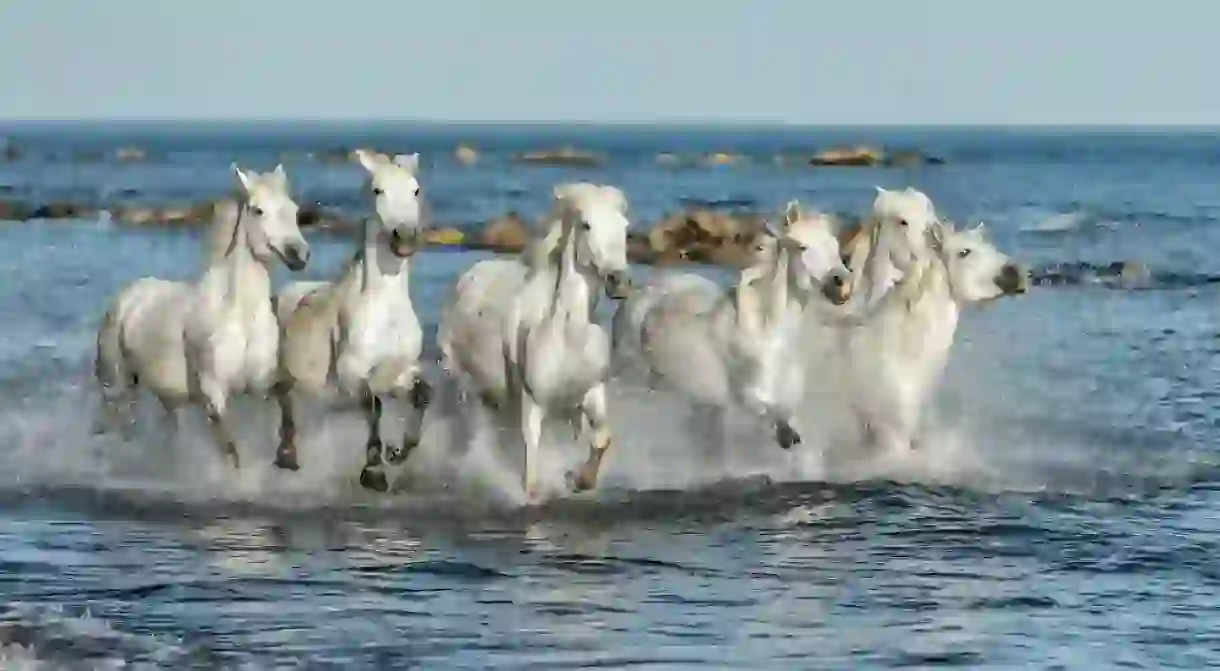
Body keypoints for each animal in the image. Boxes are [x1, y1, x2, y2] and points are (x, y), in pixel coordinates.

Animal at [96, 164, 312, 468]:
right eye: (258, 210)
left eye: (294, 209)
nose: (298, 254)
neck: (239, 316)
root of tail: (126, 298)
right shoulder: (214, 393)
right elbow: (232, 452)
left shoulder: (260, 388)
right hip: (118, 385)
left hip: (166, 399)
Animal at [272, 148, 429, 495]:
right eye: (377, 190)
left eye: (415, 190)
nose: (404, 237)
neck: (387, 310)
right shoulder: (351, 373)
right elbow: (373, 406)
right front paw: (374, 471)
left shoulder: (399, 371)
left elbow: (422, 394)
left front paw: (398, 452)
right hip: (288, 376)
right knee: (286, 404)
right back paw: (287, 456)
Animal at [436, 184, 629, 505]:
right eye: (586, 225)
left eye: (625, 227)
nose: (620, 281)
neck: (568, 336)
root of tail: (468, 276)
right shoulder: (532, 404)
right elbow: (531, 475)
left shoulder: (592, 392)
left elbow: (602, 437)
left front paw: (579, 480)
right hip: (466, 386)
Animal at [614, 201, 854, 458]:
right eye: (803, 247)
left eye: (835, 246)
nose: (842, 284)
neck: (768, 338)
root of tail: (639, 294)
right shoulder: (749, 399)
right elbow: (775, 422)